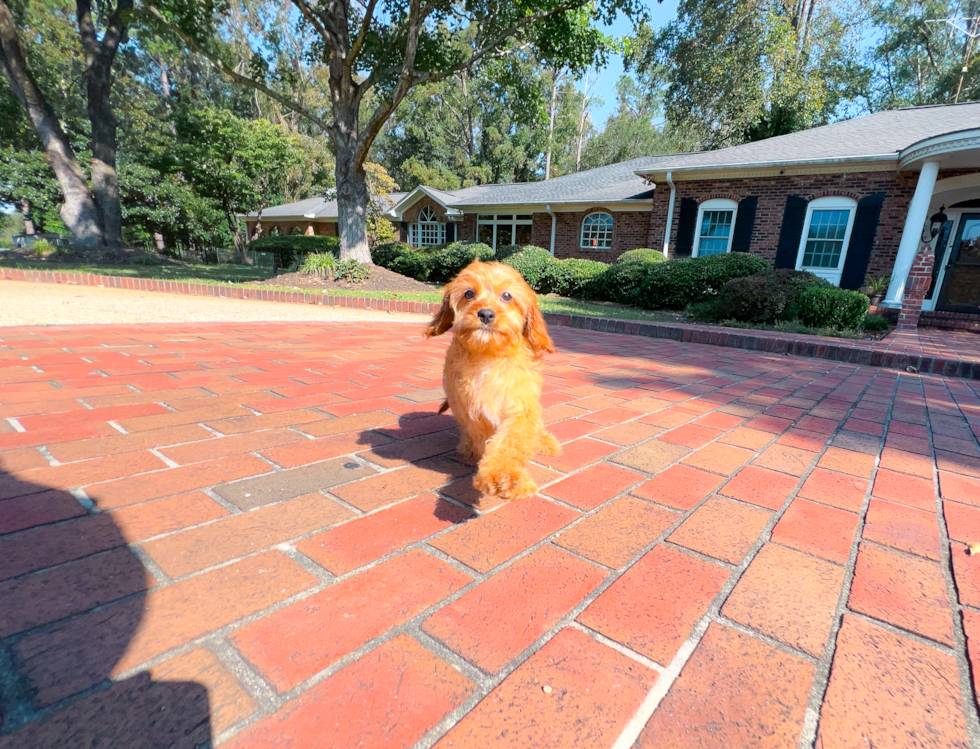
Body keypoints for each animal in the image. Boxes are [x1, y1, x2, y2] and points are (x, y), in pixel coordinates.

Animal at [424, 260, 560, 500]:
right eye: (469, 293)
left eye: (506, 296)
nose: (486, 314)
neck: (490, 355)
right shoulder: (474, 411)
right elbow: (487, 440)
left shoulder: (520, 405)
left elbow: (512, 440)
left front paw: (504, 476)